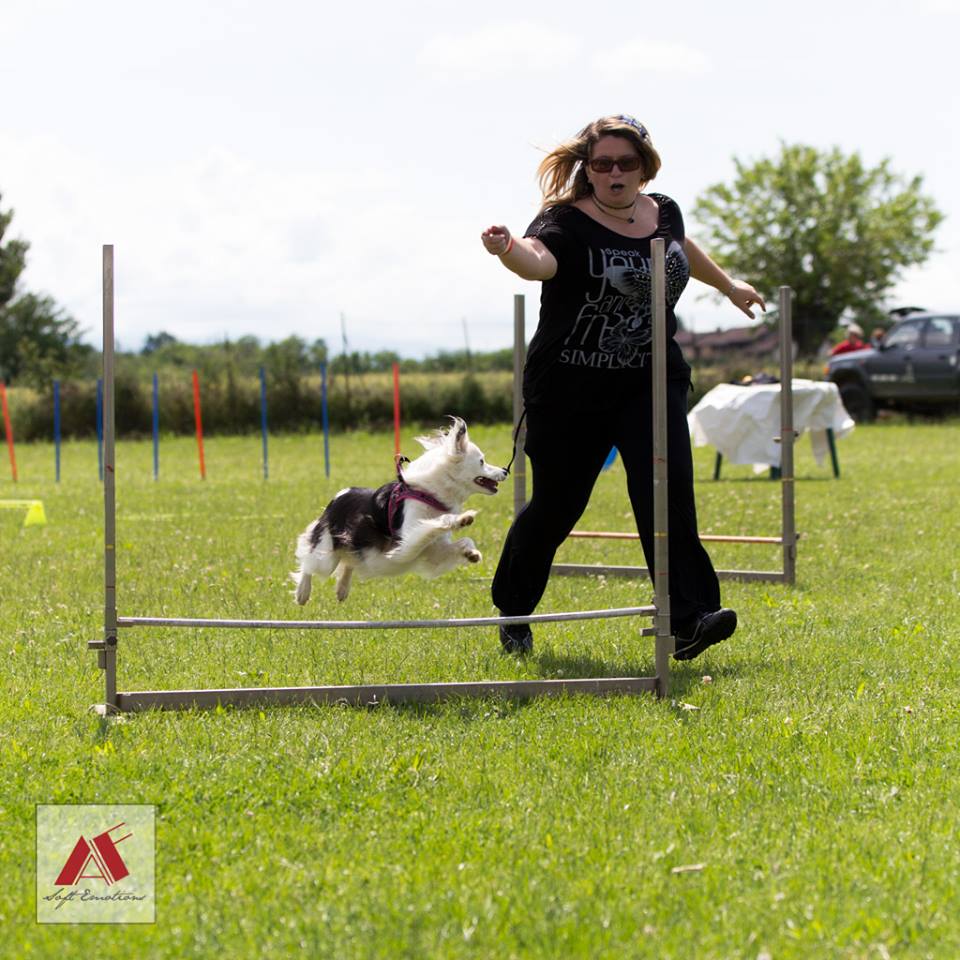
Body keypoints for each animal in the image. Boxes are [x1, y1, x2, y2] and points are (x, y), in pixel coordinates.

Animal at [292, 417, 507, 603]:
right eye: (481, 461)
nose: (506, 470)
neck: (429, 494)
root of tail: (339, 495)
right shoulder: (405, 544)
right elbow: (437, 522)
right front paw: (462, 519)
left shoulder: (432, 551)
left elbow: (464, 541)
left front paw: (471, 553)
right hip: (326, 555)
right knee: (308, 562)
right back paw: (303, 592)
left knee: (348, 562)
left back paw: (342, 590)